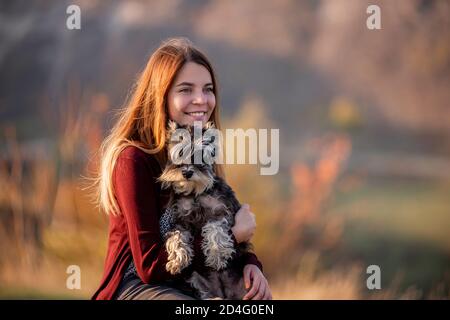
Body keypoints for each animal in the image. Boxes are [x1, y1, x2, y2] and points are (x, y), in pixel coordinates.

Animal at [158, 120, 251, 300]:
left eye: (199, 154)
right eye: (180, 152)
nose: (187, 172)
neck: (196, 193)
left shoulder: (221, 211)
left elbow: (216, 230)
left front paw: (217, 256)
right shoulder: (181, 220)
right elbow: (177, 237)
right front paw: (177, 260)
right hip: (196, 279)